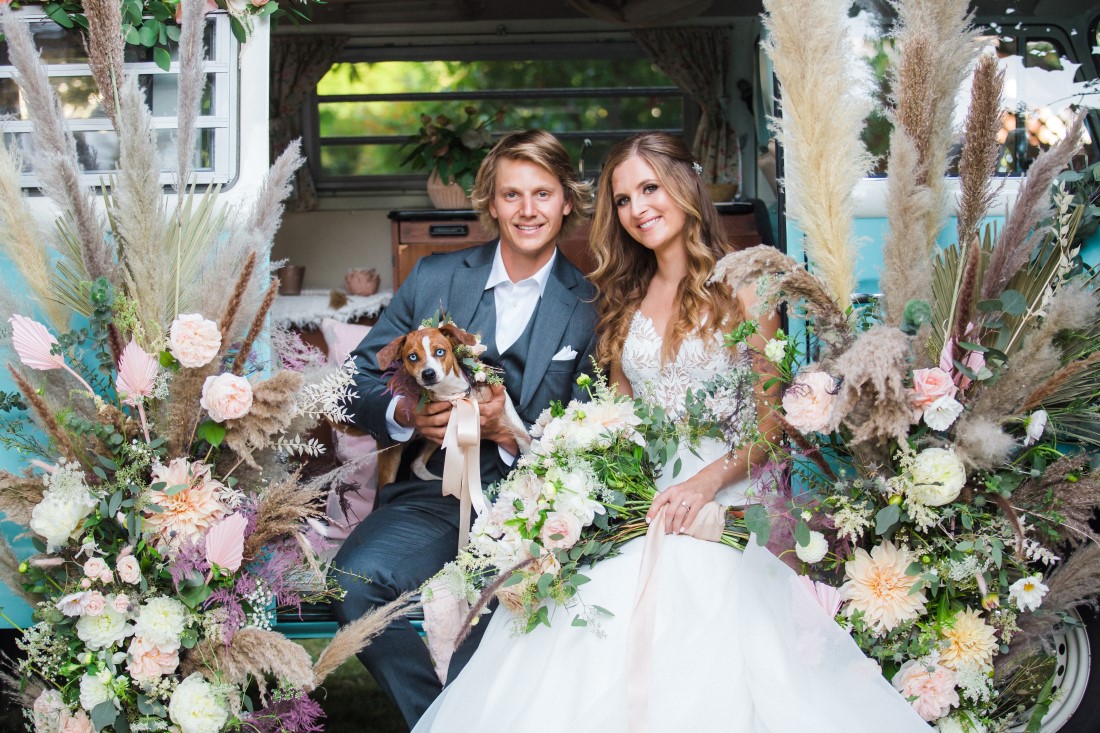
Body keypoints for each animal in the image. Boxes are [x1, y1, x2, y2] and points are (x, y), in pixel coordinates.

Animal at [376, 323, 530, 484]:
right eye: (412, 357)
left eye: (440, 351)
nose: (428, 374)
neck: (453, 390)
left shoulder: (502, 396)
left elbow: (518, 427)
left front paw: (529, 453)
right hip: (391, 458)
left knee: (416, 464)